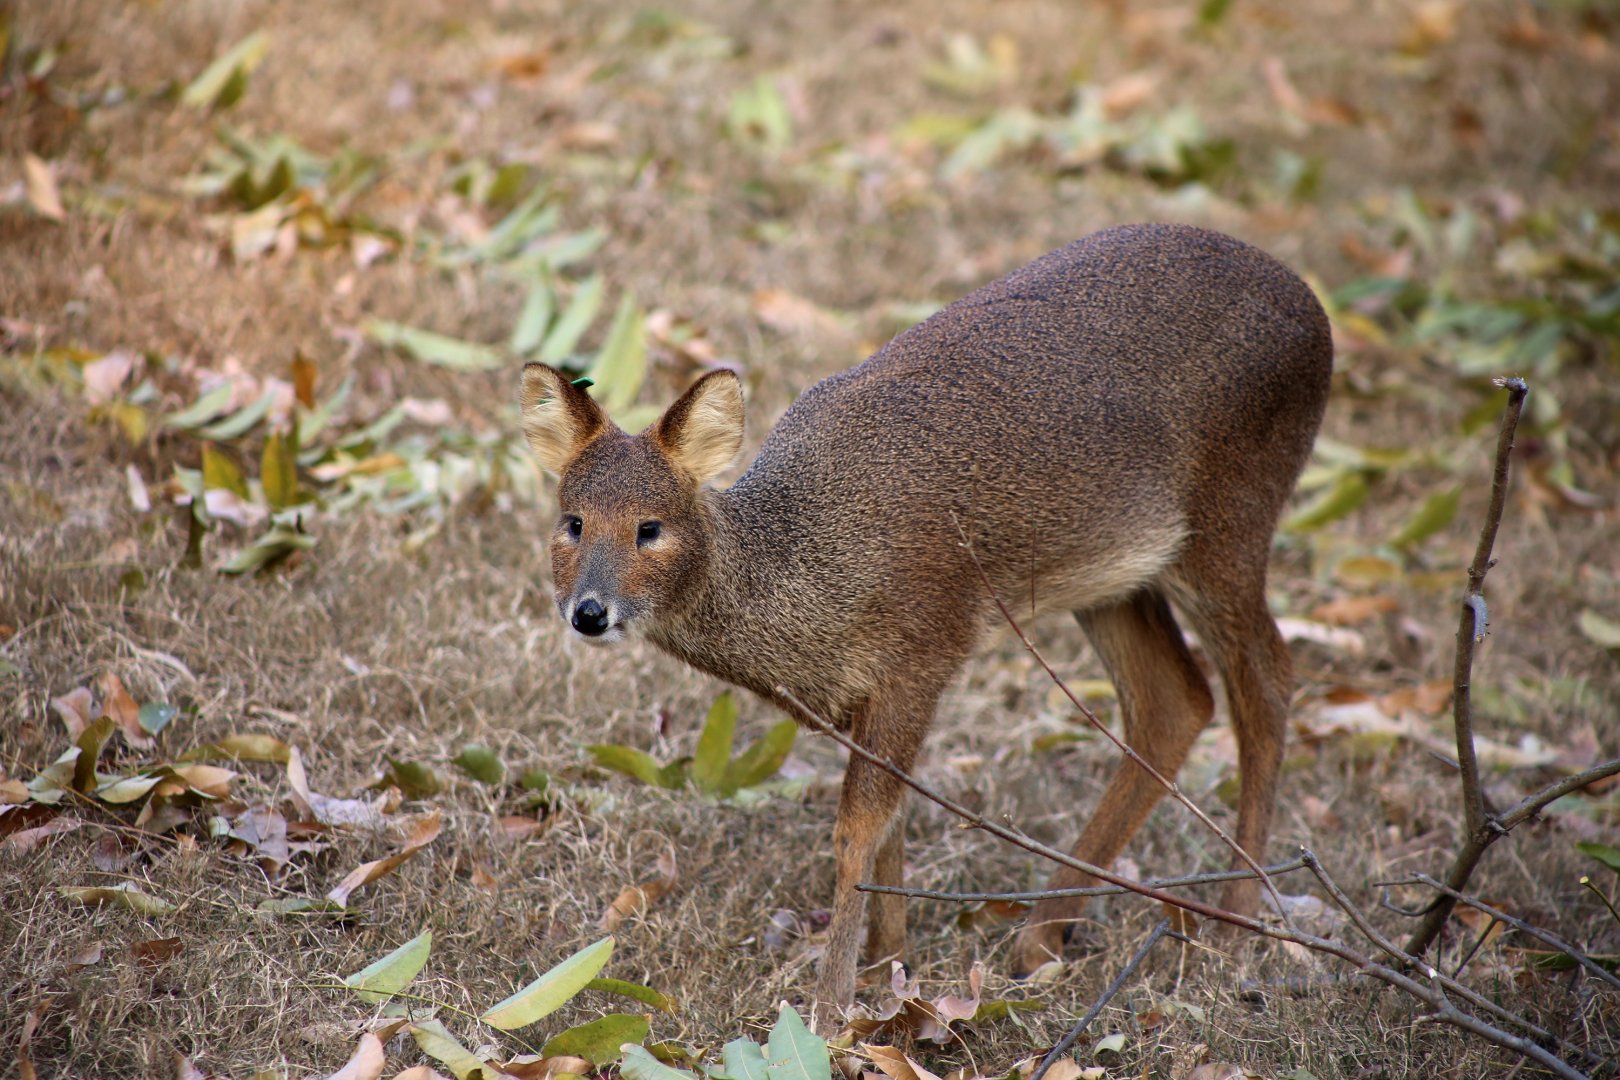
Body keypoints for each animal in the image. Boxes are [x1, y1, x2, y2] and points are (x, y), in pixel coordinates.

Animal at [518, 223, 1333, 1035]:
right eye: (573, 522)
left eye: (650, 527)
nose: (589, 611)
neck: (811, 582)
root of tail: (1314, 309)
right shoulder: (873, 689)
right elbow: (895, 818)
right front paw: (890, 969)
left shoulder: (925, 648)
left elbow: (858, 829)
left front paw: (830, 1009)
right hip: (1115, 571)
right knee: (1175, 702)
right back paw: (1041, 938)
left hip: (1232, 514)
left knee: (1267, 679)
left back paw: (1237, 921)